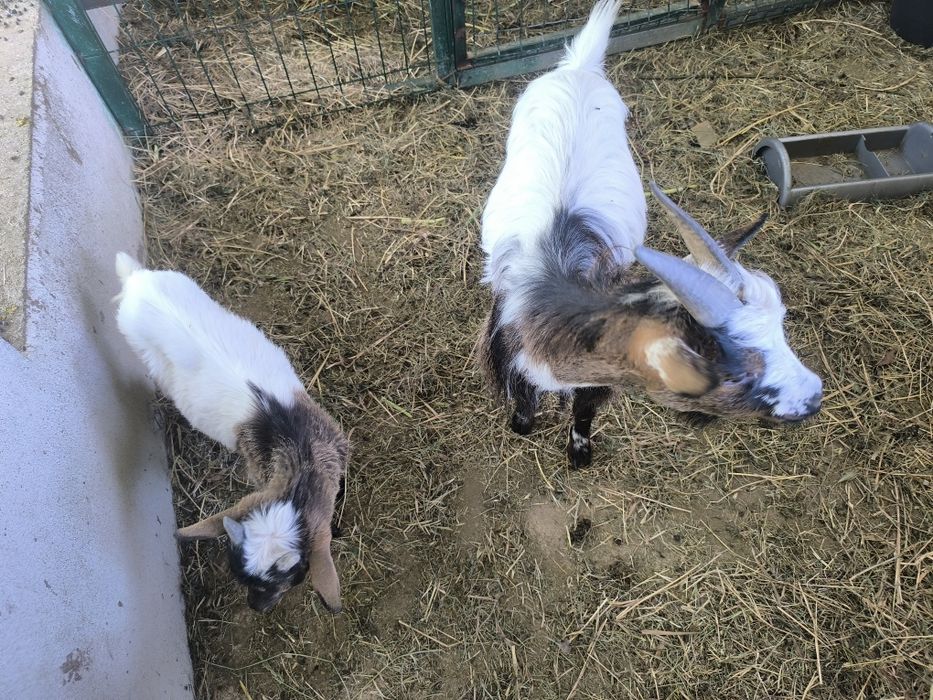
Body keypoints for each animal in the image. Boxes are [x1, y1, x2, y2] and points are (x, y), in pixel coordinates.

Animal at [477, 0, 823, 468]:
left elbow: (584, 409)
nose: (814, 397)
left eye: (781, 328)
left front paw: (579, 452)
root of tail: (580, 68)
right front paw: (523, 425)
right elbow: (525, 400)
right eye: (728, 372)